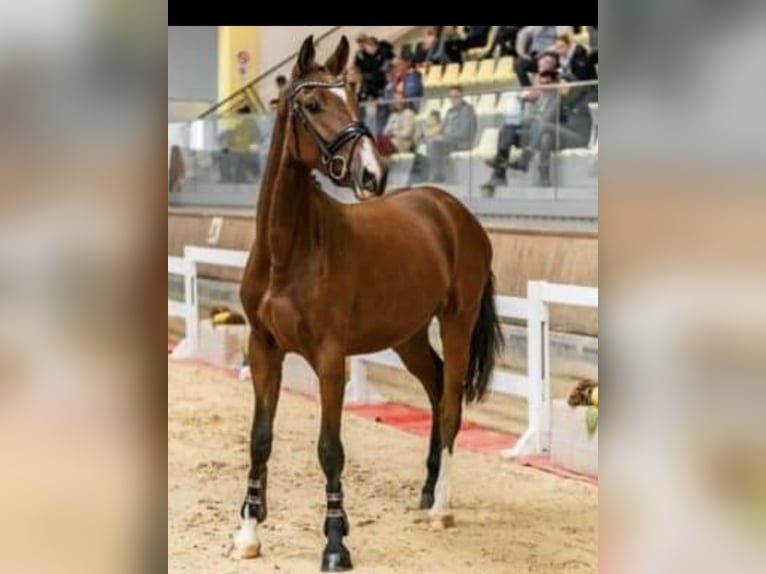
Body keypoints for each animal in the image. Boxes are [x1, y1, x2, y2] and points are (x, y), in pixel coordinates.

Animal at [237, 35, 508, 572]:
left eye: (355, 97)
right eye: (313, 104)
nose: (372, 173)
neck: (287, 250)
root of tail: (453, 212)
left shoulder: (329, 357)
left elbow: (330, 448)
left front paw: (335, 544)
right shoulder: (264, 347)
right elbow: (260, 439)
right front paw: (249, 533)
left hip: (457, 321)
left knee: (450, 403)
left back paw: (441, 508)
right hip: (409, 336)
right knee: (436, 388)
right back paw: (427, 489)